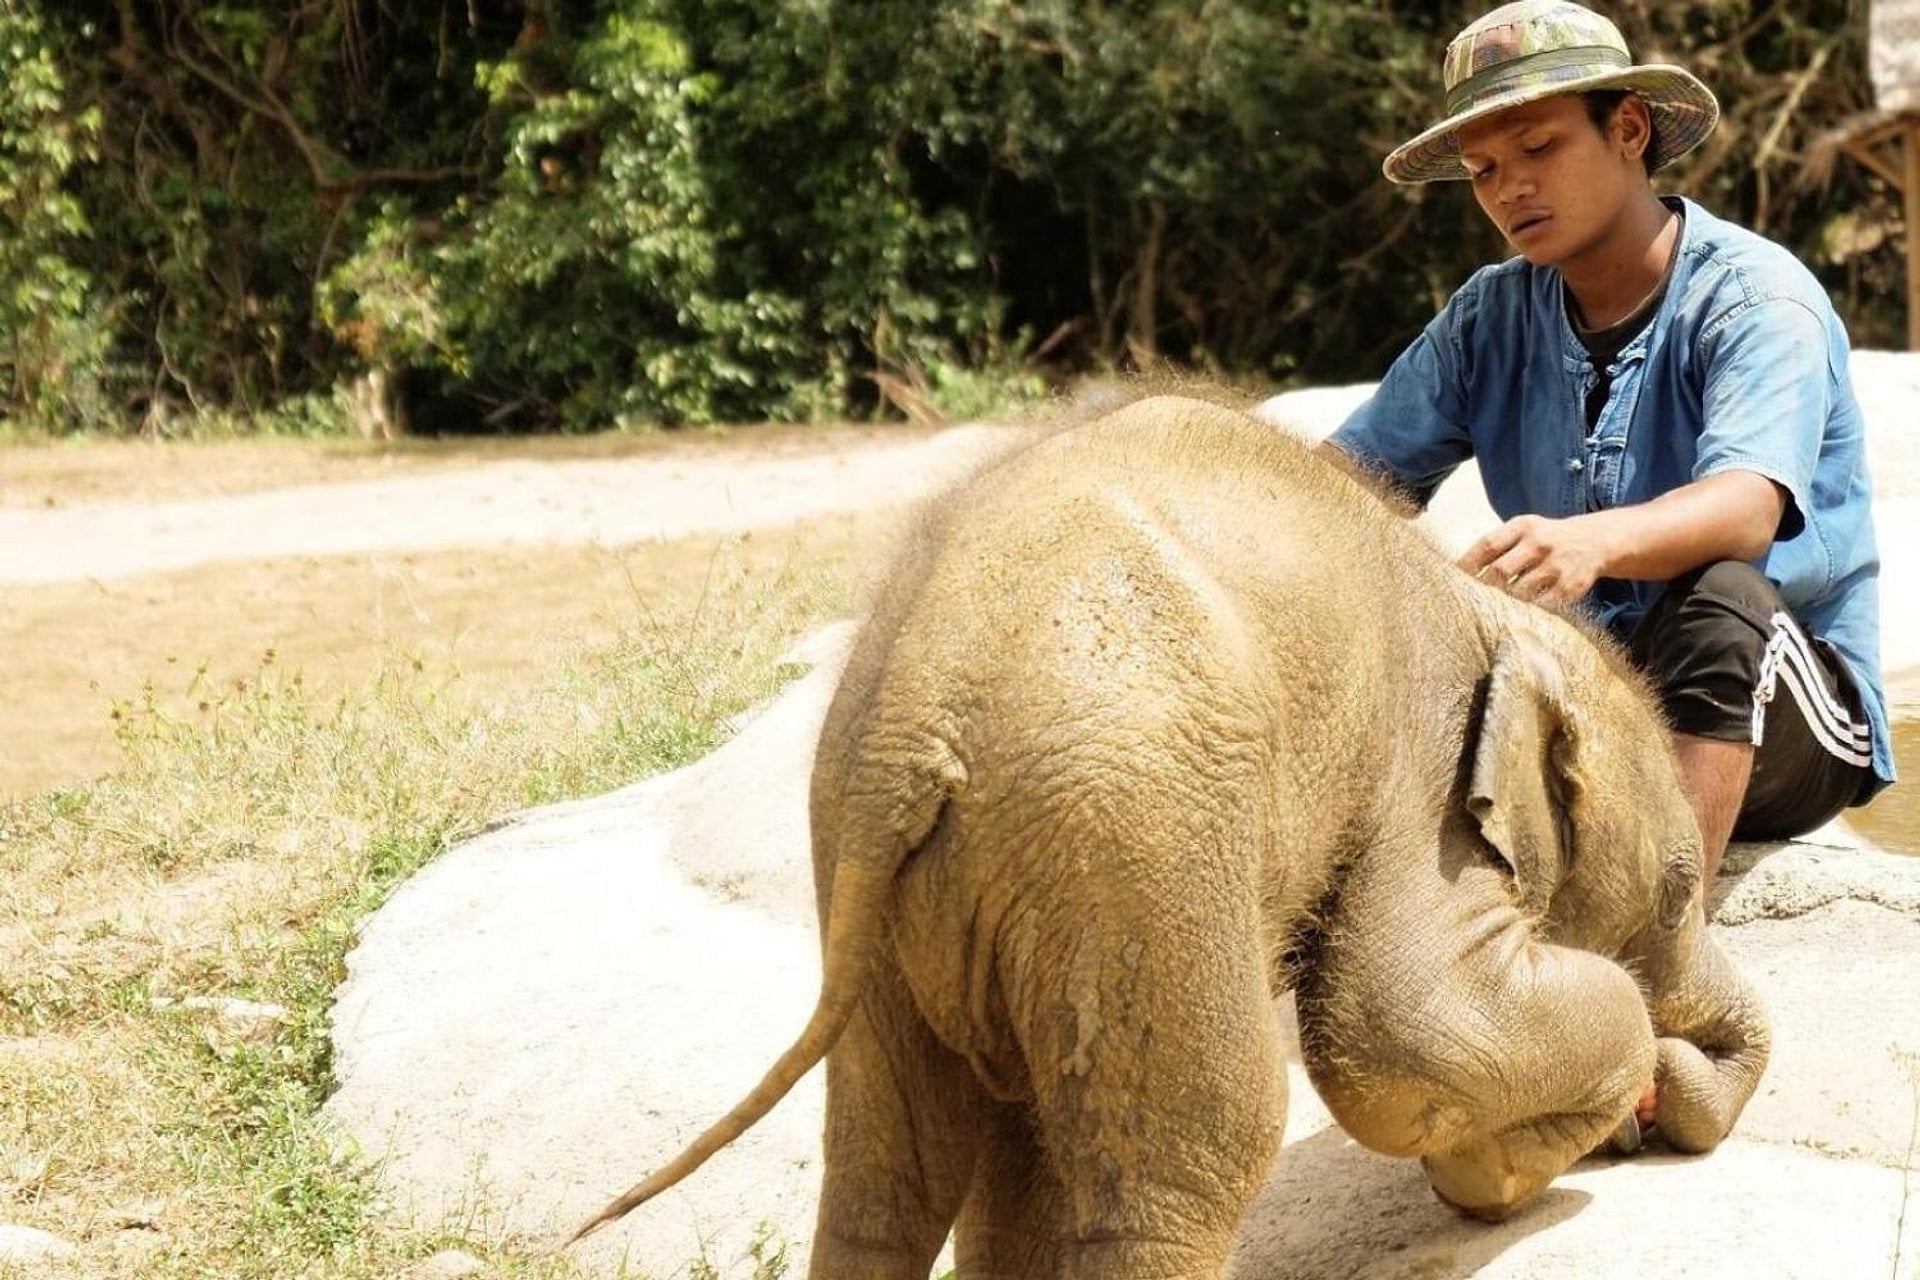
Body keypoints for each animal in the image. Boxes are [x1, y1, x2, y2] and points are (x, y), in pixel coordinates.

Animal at [567, 395, 1770, 1279]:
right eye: (1680, 889)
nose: (1663, 1112)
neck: (1491, 605)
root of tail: (912, 723)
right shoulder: (1415, 780)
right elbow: (1399, 1035)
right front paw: (1525, 1156)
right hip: (1131, 842)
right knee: (1190, 1153)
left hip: (923, 895)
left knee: (901, 1165)